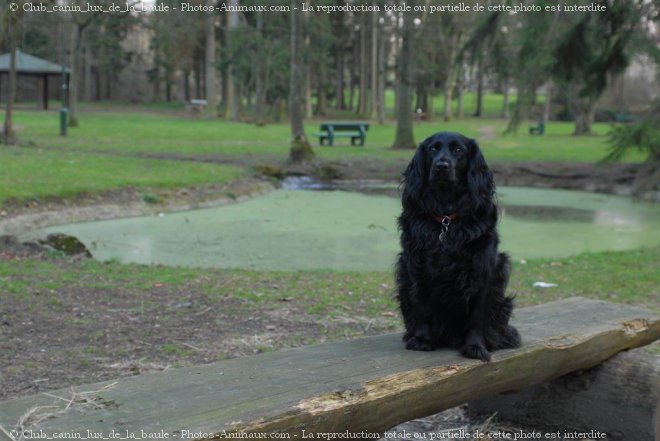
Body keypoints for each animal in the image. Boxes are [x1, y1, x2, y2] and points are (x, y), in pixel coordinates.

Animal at [394, 131, 524, 360]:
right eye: (433, 149)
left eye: (458, 150)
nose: (441, 166)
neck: (446, 218)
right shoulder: (416, 267)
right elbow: (421, 304)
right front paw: (421, 339)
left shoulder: (484, 271)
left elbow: (477, 316)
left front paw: (475, 346)